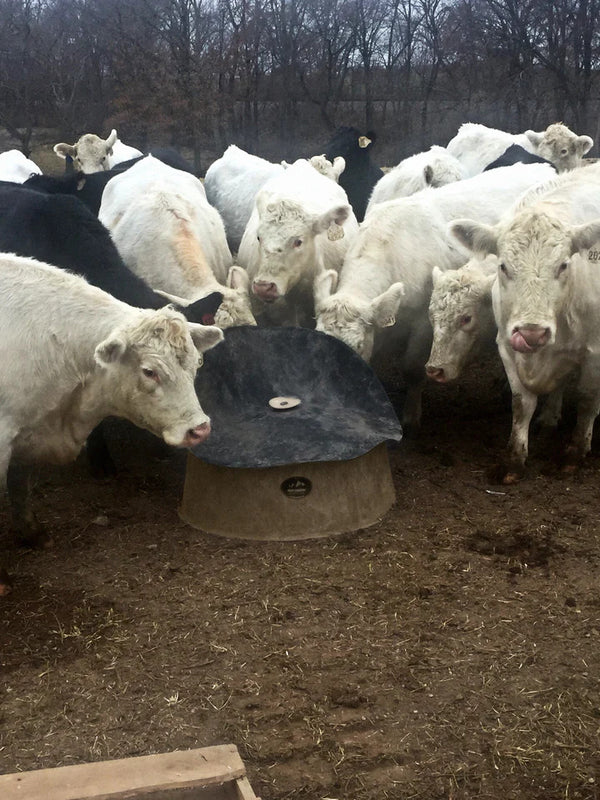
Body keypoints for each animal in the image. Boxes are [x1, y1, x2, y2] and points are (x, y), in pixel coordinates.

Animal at [0, 252, 224, 594]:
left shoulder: (27, 430)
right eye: (149, 371)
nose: (199, 429)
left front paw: (32, 533)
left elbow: (20, 484)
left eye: (195, 363)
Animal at [450, 164, 600, 483]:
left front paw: (575, 453)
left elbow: (586, 400)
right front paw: (514, 460)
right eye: (503, 266)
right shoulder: (507, 346)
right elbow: (521, 404)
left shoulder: (596, 352)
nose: (532, 333)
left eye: (563, 265)